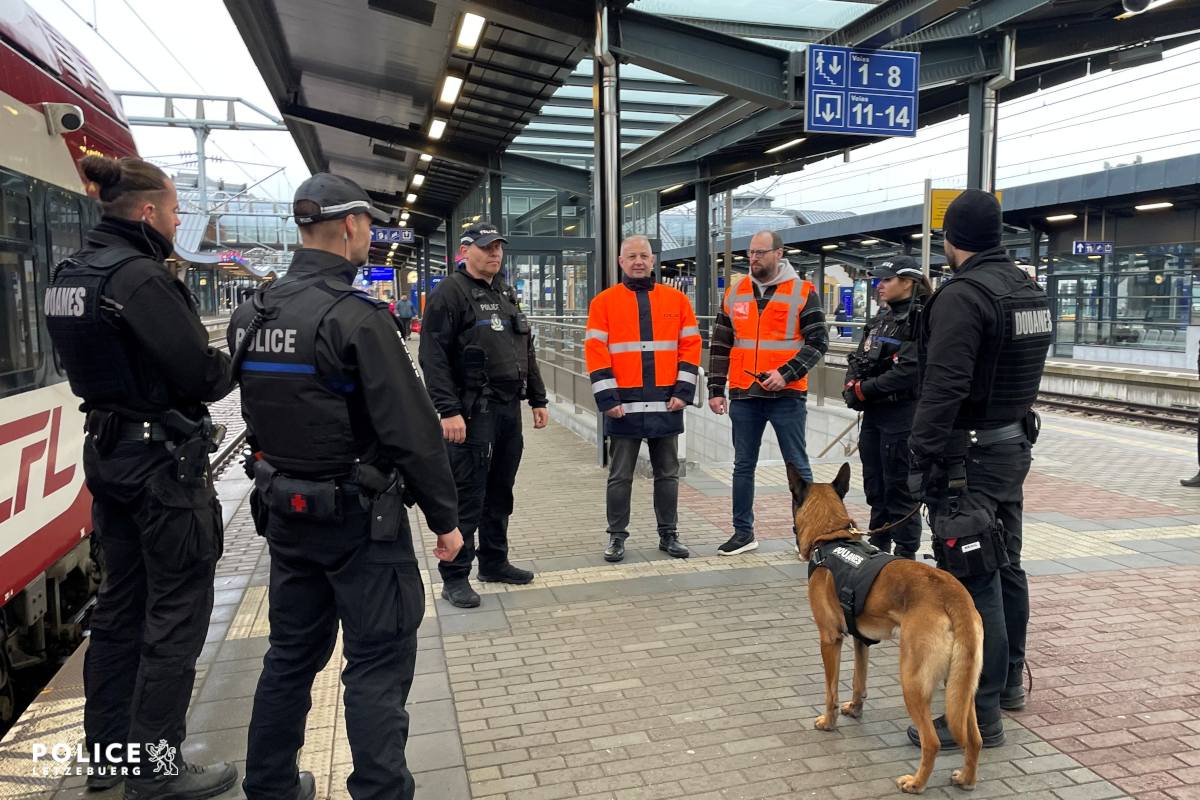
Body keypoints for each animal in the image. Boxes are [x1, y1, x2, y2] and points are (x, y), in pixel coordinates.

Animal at [788, 461, 984, 794]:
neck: (832, 537)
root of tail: (955, 597)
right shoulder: (860, 640)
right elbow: (859, 680)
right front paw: (855, 709)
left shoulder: (830, 639)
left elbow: (831, 690)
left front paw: (828, 722)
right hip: (962, 687)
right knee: (975, 738)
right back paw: (967, 779)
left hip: (913, 681)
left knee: (931, 742)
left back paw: (916, 783)